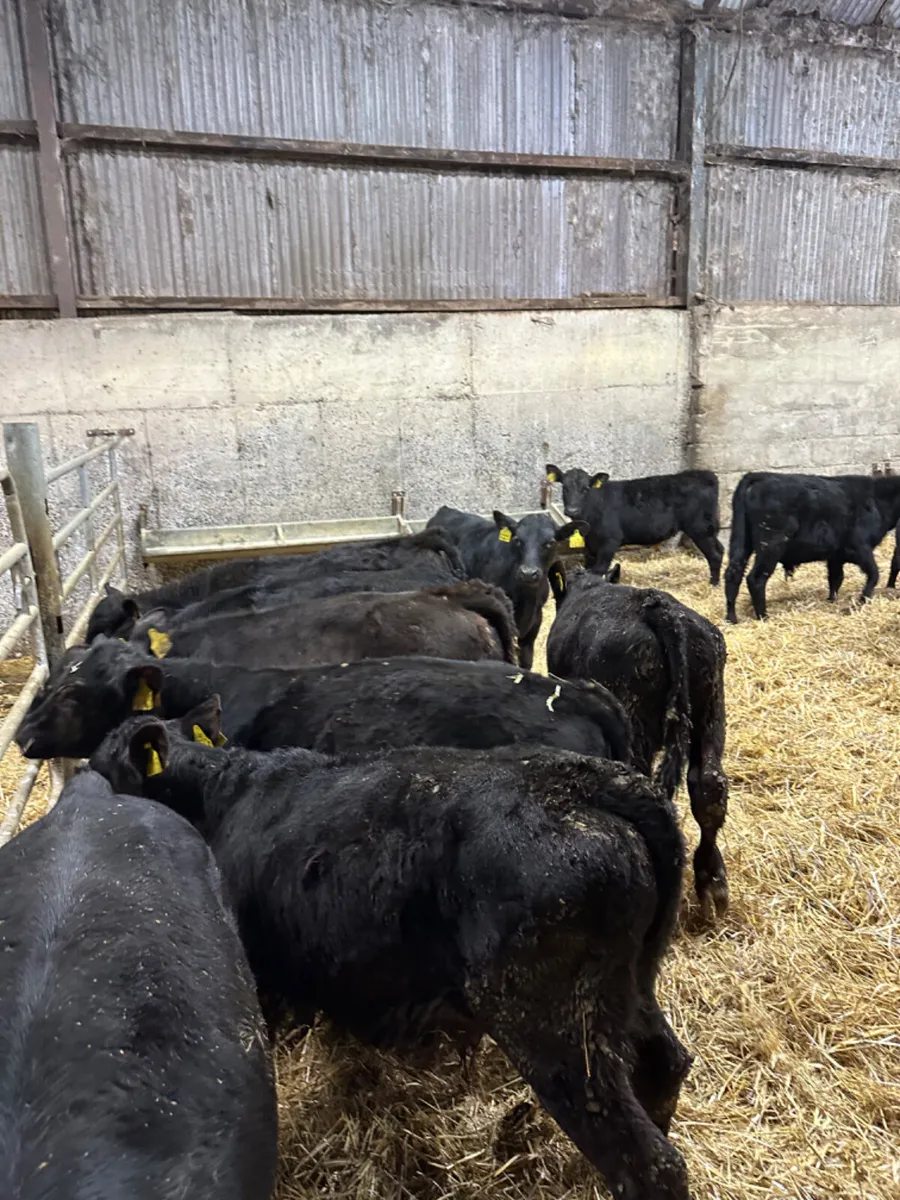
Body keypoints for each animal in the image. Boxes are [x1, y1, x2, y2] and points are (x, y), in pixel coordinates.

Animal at [90, 707, 692, 1200]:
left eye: (103, 772)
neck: (223, 798)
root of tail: (586, 785)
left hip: (554, 1029)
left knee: (650, 1163)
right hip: (629, 989)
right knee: (665, 1066)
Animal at [545, 467, 723, 585]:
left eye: (585, 489)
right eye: (565, 488)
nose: (572, 510)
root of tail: (705, 474)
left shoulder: (610, 542)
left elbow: (599, 570)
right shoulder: (590, 546)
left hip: (700, 528)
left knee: (714, 555)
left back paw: (713, 585)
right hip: (708, 529)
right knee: (720, 550)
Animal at [724, 470, 900, 623]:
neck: (877, 501)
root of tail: (759, 476)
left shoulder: (836, 556)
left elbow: (836, 578)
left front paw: (832, 600)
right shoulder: (859, 548)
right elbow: (874, 574)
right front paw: (862, 601)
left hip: (742, 542)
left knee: (733, 574)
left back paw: (731, 618)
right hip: (770, 546)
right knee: (756, 578)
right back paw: (763, 617)